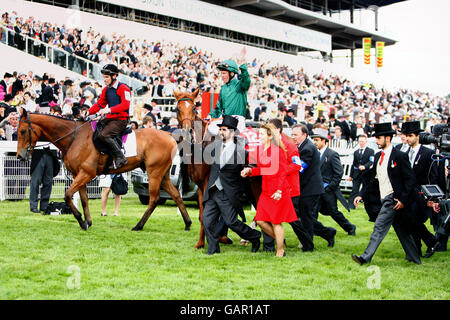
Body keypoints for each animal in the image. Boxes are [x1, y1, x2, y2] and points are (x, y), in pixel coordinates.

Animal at [16, 109, 190, 230]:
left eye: (23, 131)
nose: (19, 156)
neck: (74, 137)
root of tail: (170, 135)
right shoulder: (78, 174)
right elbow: (84, 199)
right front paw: (87, 222)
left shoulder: (86, 173)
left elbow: (68, 195)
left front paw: (81, 220)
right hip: (163, 175)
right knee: (176, 195)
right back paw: (187, 223)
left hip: (154, 173)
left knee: (154, 199)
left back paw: (139, 225)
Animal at [174, 89, 262, 249]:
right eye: (177, 109)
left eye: (194, 108)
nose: (187, 132)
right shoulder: (201, 186)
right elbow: (203, 214)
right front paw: (202, 242)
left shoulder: (208, 183)